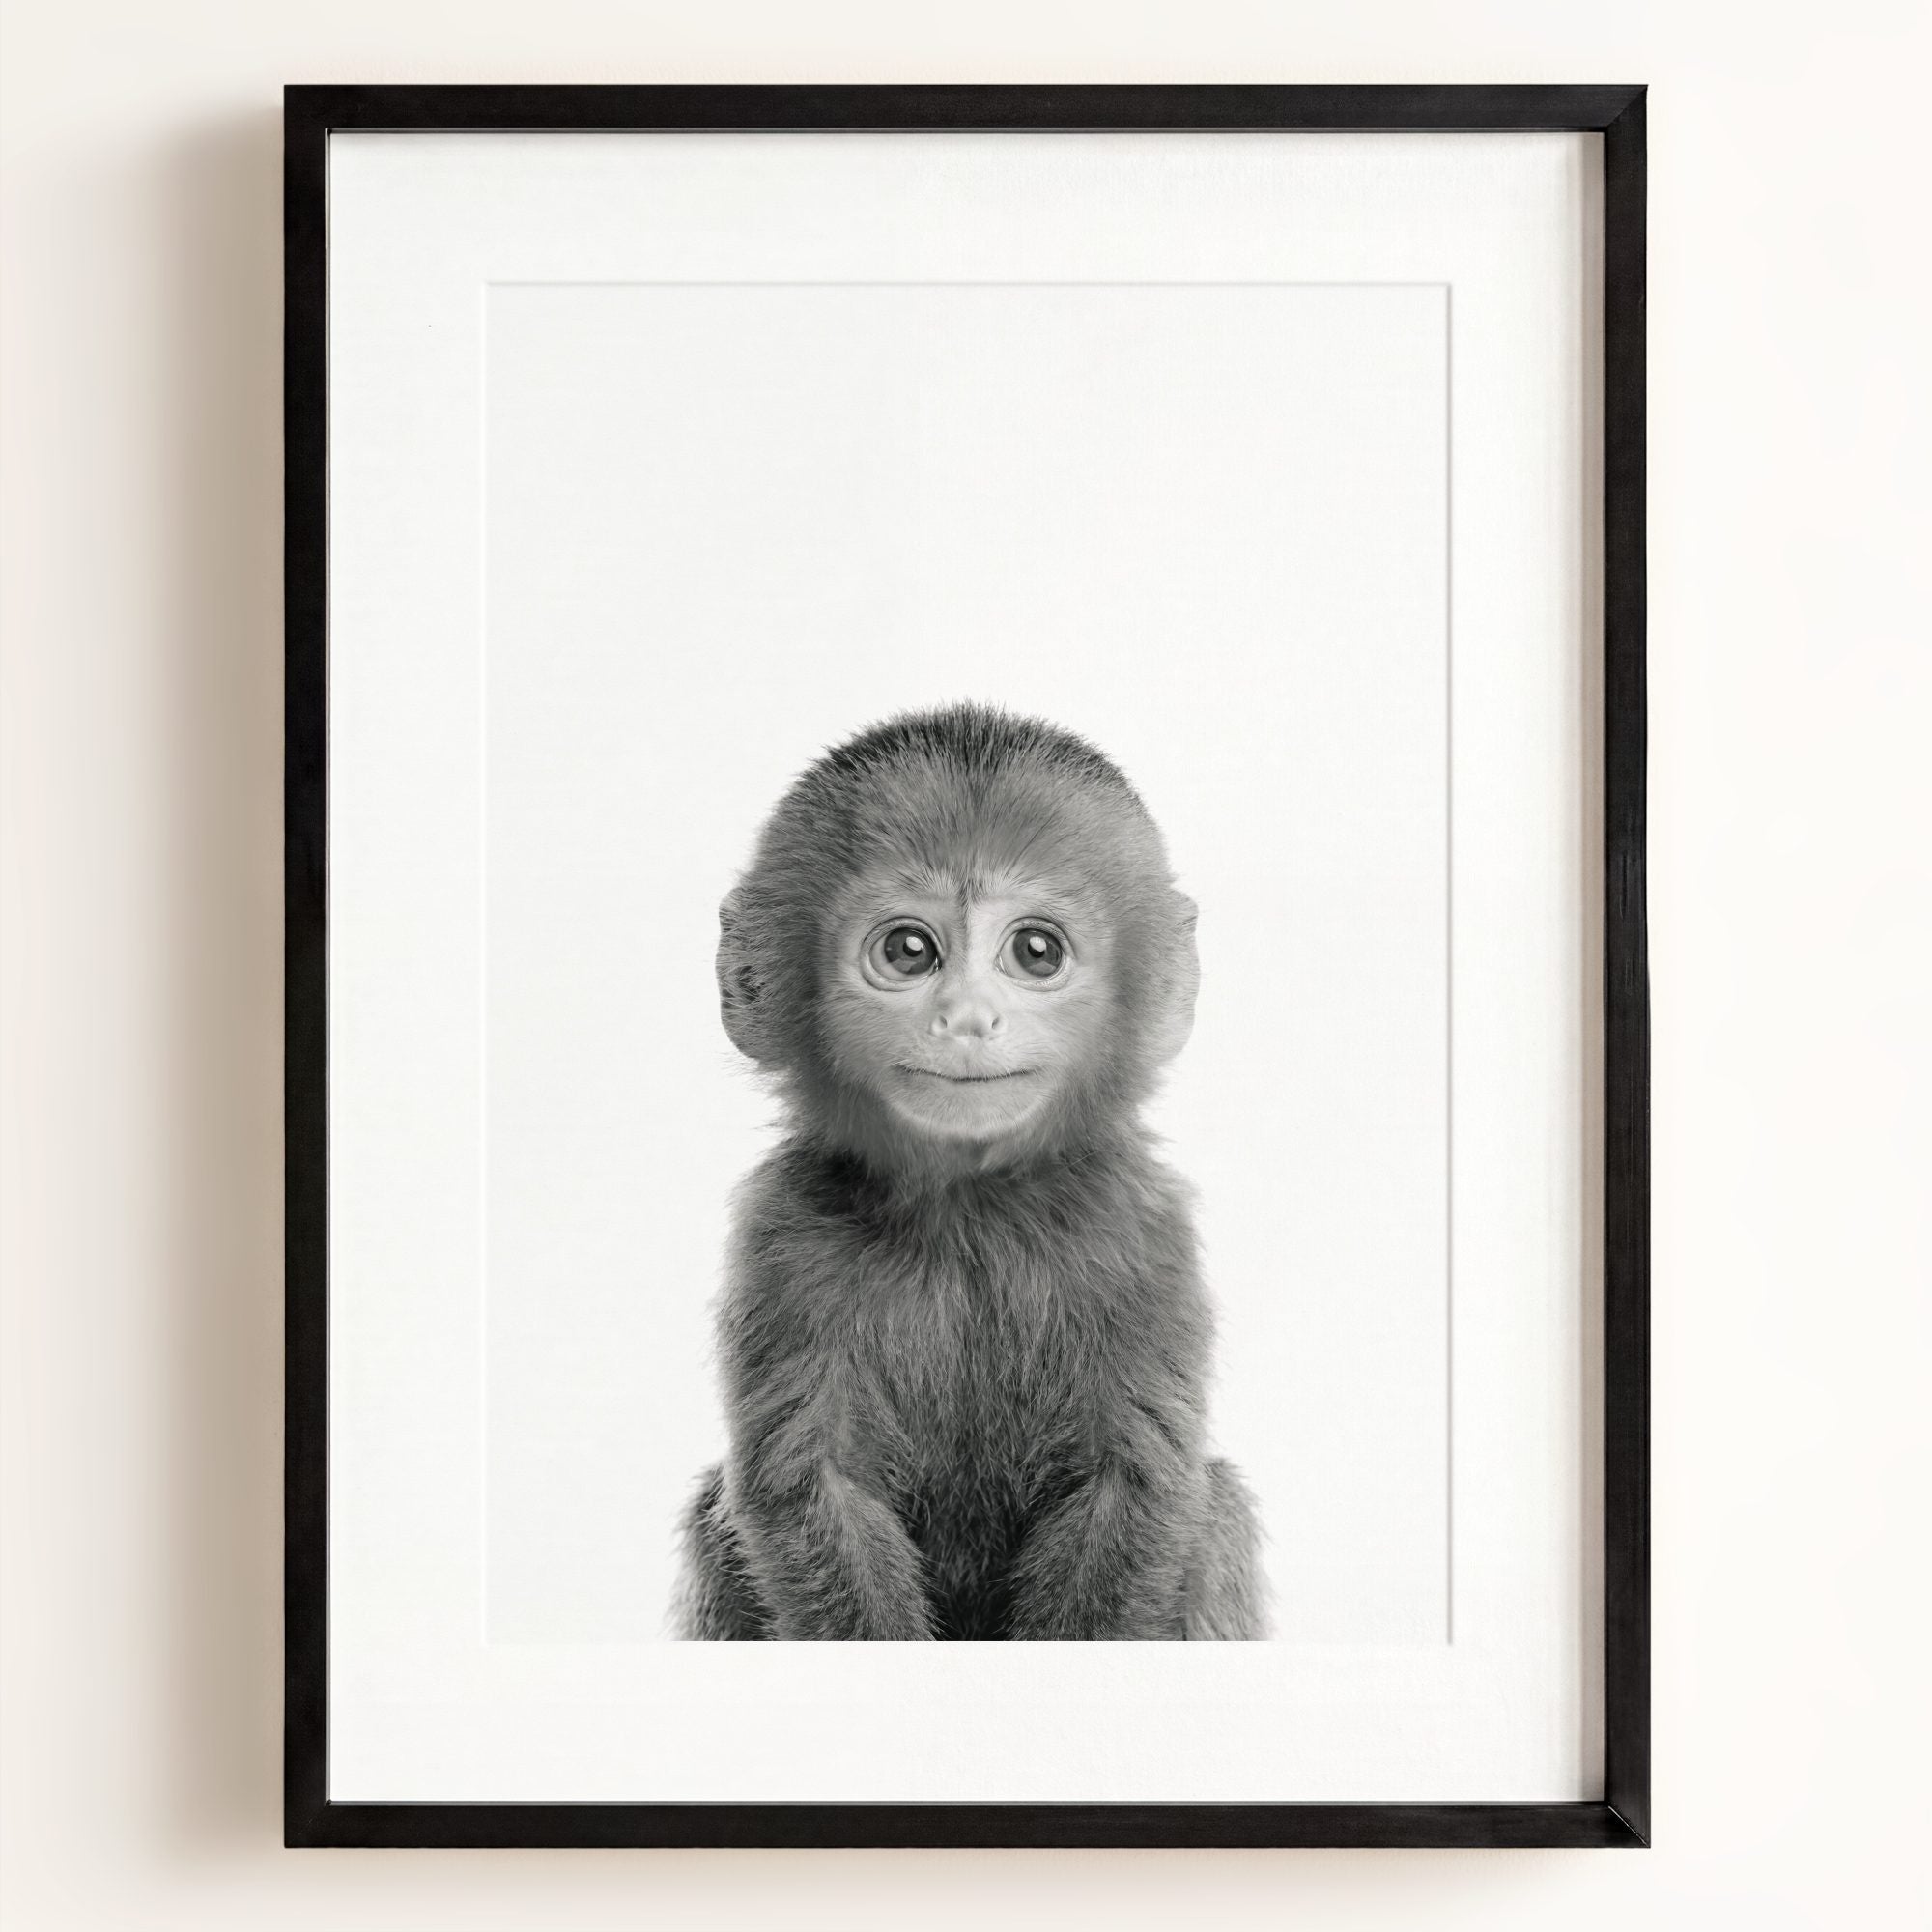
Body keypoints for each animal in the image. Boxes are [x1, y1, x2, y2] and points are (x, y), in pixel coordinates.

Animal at [674, 703, 1265, 1641]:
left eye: (1036, 951)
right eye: (910, 951)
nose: (968, 1018)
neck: (970, 1212)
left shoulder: (1143, 1228)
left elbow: (1132, 1485)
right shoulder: (781, 1234)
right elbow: (814, 1488)